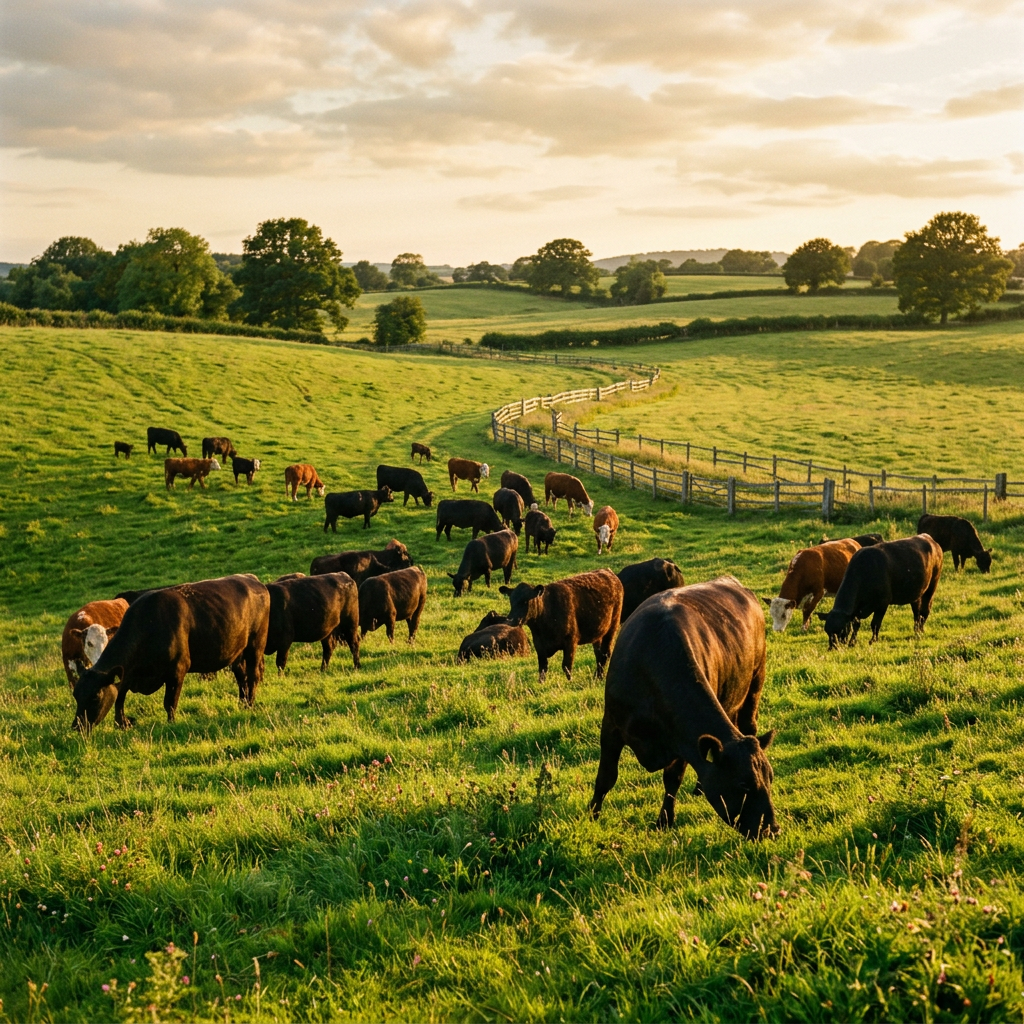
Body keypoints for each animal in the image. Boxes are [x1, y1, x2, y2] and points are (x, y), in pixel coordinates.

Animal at [72, 574, 269, 732]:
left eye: (95, 696)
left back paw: (250, 704)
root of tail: (251, 579)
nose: (77, 726)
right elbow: (119, 698)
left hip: (256, 645)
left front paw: (171, 724)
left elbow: (170, 703)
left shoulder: (177, 670)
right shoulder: (127, 674)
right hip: (237, 652)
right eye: (75, 695)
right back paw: (242, 703)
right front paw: (123, 723)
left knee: (253, 676)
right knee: (241, 676)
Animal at [588, 577, 777, 840]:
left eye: (770, 779)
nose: (771, 828)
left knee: (748, 725)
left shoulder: (682, 740)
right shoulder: (611, 726)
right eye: (743, 785)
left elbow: (672, 779)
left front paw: (664, 820)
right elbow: (606, 777)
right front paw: (591, 815)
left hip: (755, 683)